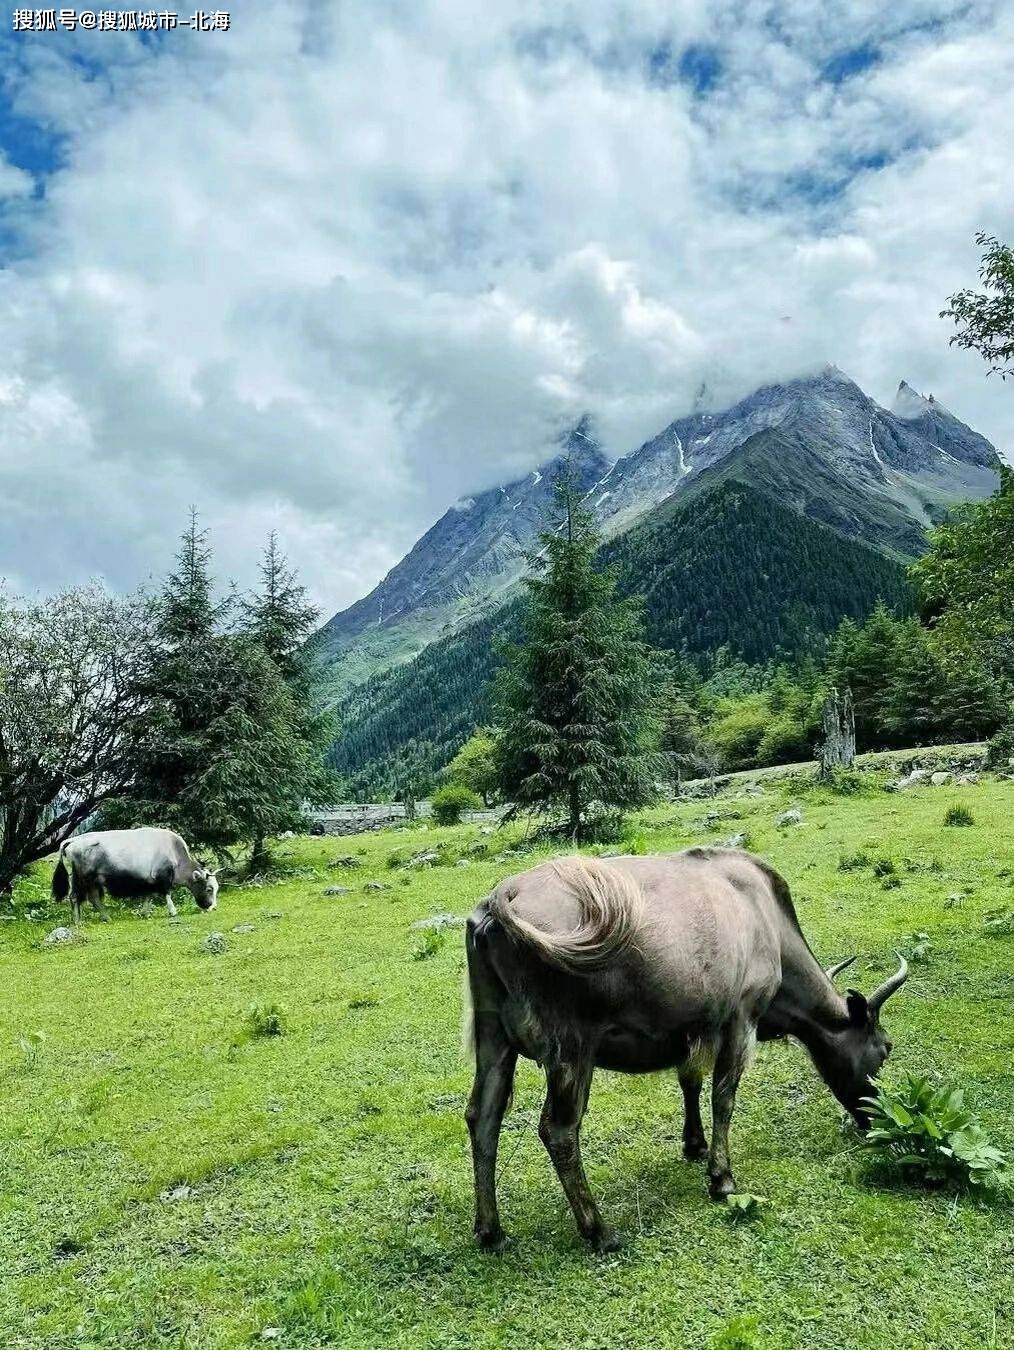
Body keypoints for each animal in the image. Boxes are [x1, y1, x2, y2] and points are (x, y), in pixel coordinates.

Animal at [51, 826, 220, 923]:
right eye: (209, 888)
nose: (213, 907)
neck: (174, 852)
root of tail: (72, 841)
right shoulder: (163, 877)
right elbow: (167, 894)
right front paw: (173, 912)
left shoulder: (150, 881)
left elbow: (149, 896)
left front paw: (144, 913)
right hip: (81, 878)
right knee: (74, 897)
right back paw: (77, 922)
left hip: (94, 881)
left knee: (93, 898)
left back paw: (107, 917)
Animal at [464, 847, 907, 1247]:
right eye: (885, 1047)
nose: (875, 1120)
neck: (764, 916)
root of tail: (501, 900)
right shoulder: (740, 1019)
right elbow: (723, 1097)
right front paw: (722, 1178)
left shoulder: (690, 1031)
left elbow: (690, 1082)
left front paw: (694, 1144)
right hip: (571, 1051)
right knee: (558, 1130)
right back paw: (599, 1231)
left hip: (494, 1038)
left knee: (482, 1116)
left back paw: (491, 1232)